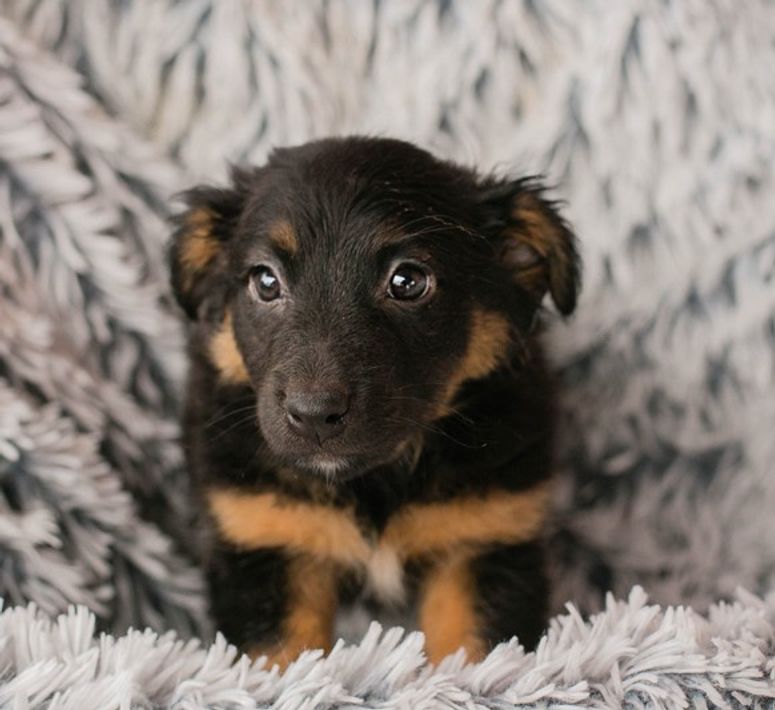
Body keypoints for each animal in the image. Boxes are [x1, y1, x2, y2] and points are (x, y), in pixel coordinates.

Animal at [169, 136, 580, 668]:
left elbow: (473, 655)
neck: (377, 481)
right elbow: (284, 660)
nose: (313, 414)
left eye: (408, 281)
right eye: (265, 281)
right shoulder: (268, 541)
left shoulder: (483, 539)